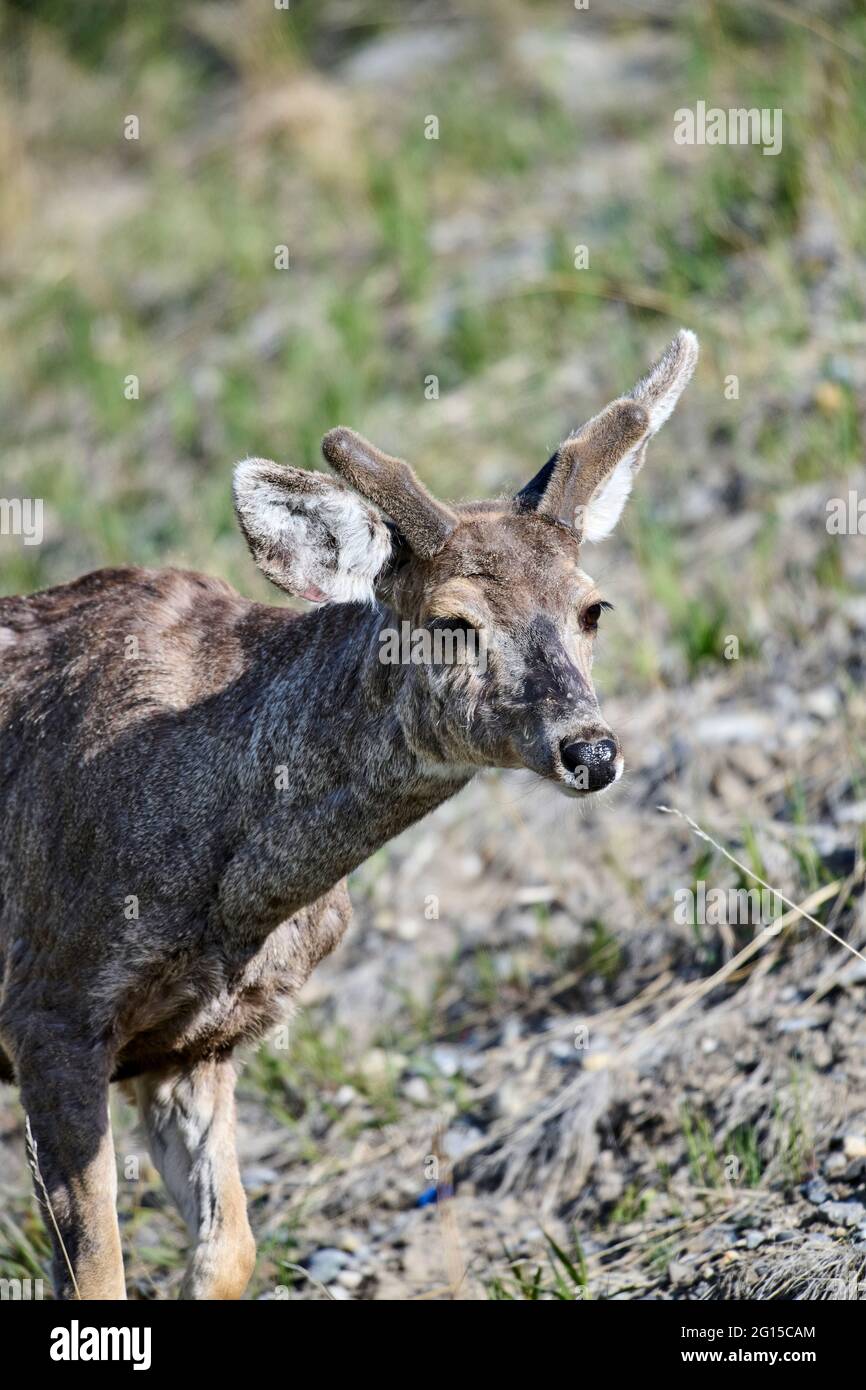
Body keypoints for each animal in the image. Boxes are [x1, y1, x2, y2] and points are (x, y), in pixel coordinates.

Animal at [0, 330, 697, 1295]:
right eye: (451, 621)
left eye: (593, 607)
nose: (590, 750)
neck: (236, 892)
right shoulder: (48, 1004)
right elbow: (97, 1271)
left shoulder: (193, 1044)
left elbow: (231, 1248)